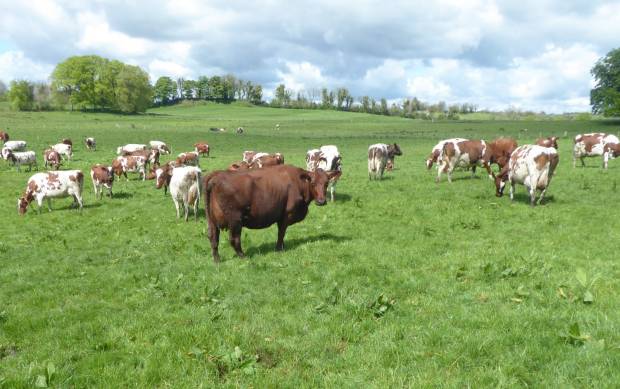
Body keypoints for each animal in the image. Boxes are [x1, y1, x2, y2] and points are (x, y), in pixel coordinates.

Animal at [205, 164, 334, 260]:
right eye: (313, 183)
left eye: (326, 183)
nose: (321, 201)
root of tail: (218, 174)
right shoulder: (286, 214)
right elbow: (281, 233)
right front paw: (279, 249)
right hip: (235, 219)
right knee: (234, 239)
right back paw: (243, 256)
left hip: (212, 220)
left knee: (213, 237)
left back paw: (217, 259)